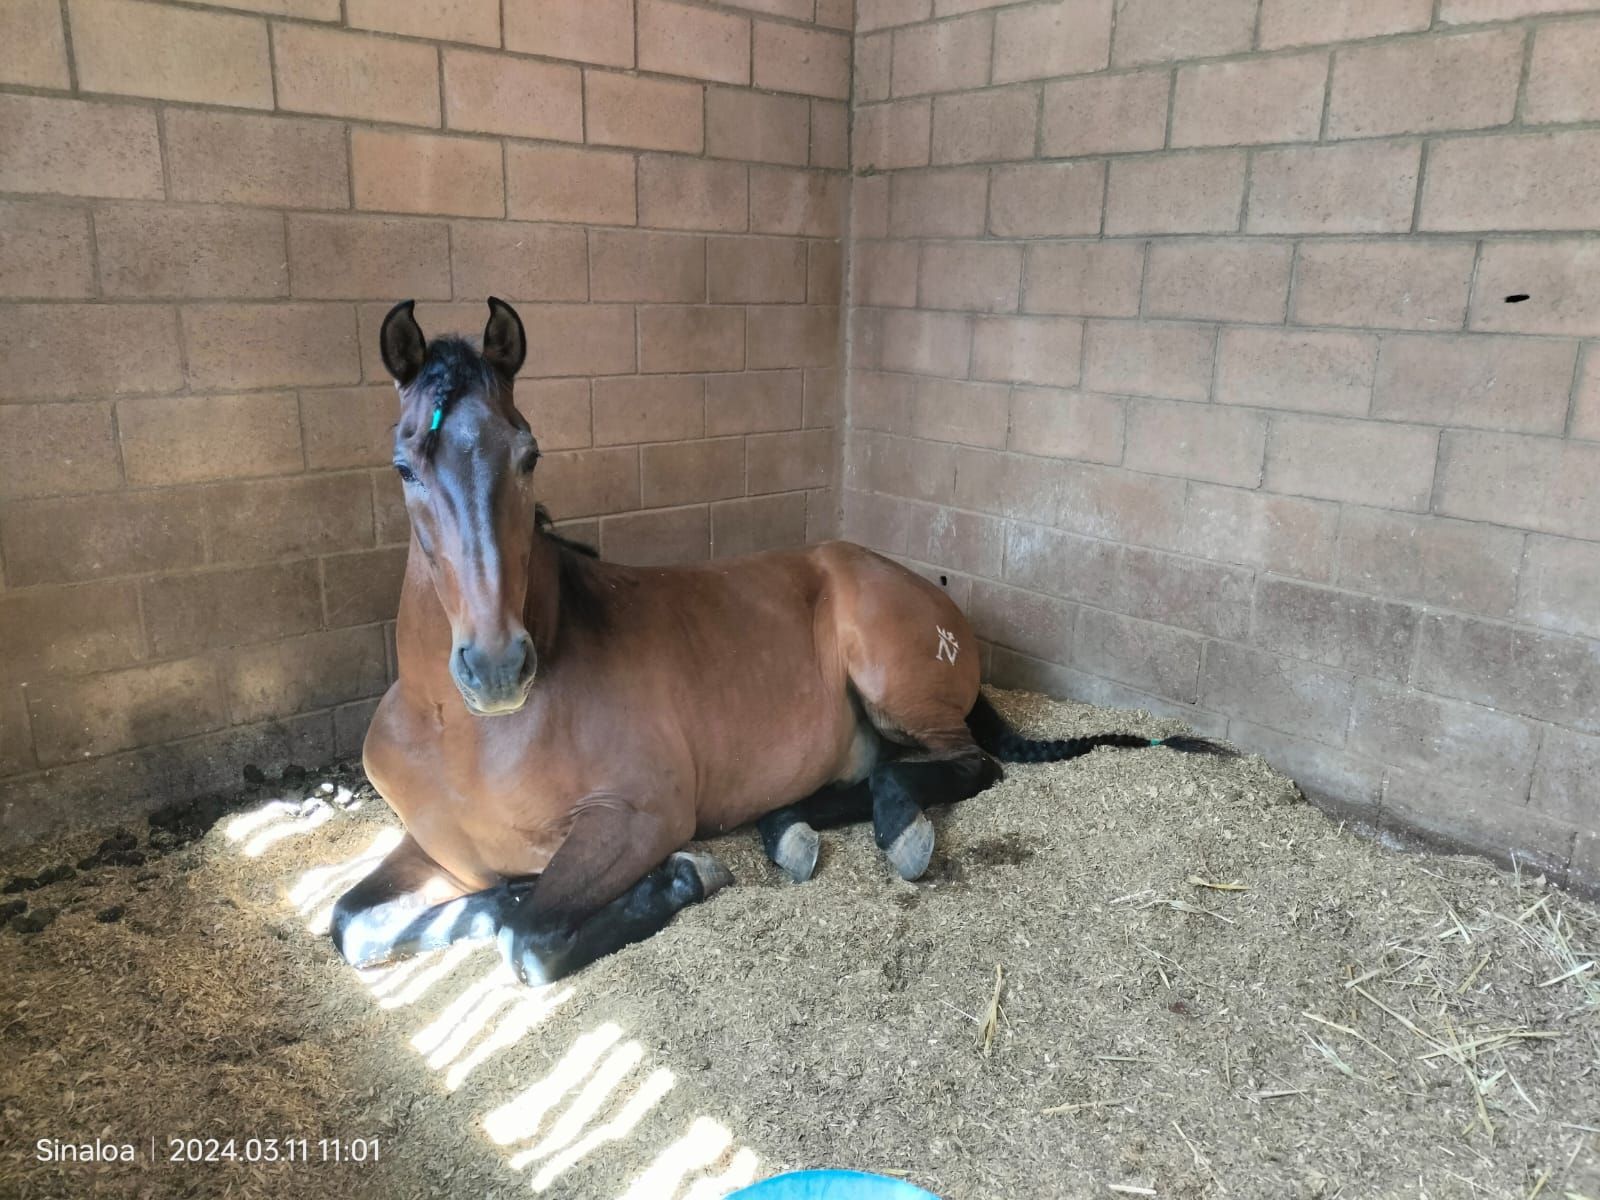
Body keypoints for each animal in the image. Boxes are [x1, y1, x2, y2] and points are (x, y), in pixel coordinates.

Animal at [330, 299, 1230, 986]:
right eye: (405, 465)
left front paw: (678, 877)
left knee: (960, 765)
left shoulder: (636, 817)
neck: (461, 733)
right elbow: (353, 922)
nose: (495, 667)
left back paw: (897, 831)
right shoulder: (433, 846)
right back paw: (790, 828)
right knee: (862, 781)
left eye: (529, 455)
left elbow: (529, 938)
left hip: (899, 689)